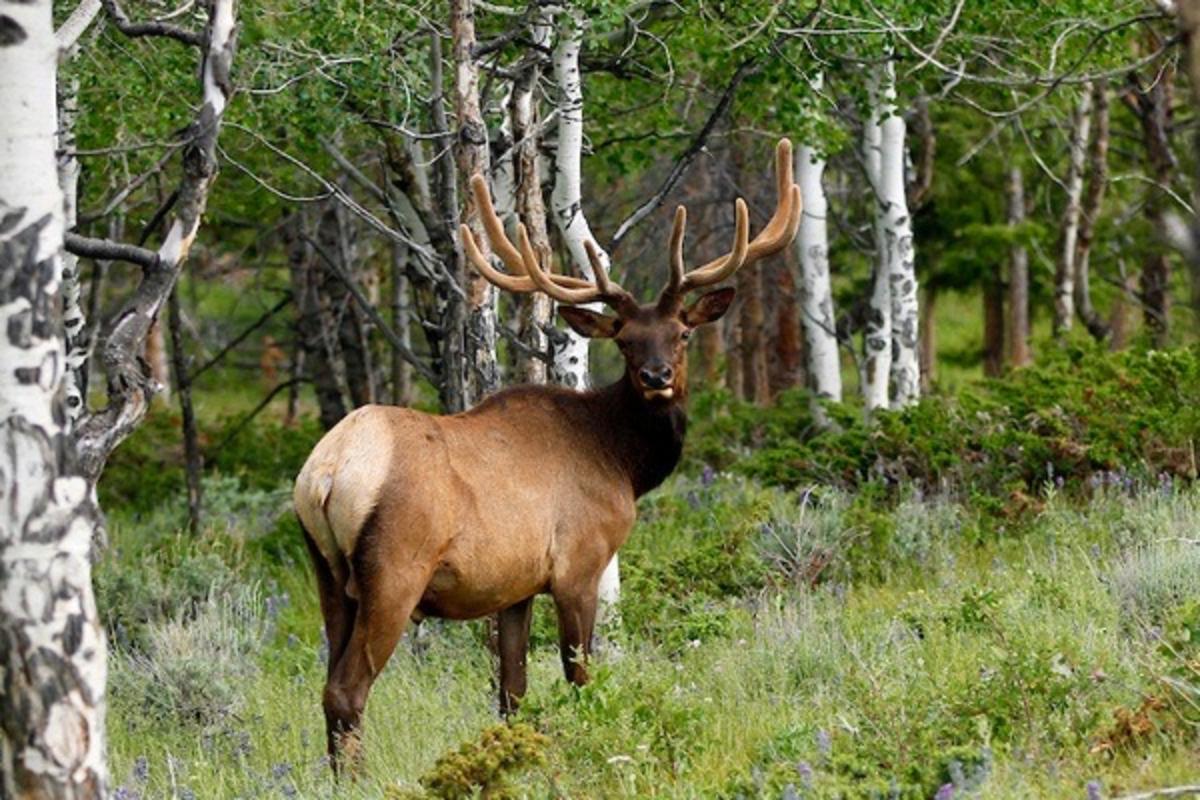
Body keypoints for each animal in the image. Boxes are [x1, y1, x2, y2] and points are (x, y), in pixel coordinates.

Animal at [289, 140, 796, 772]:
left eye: (681, 334)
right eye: (625, 340)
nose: (656, 377)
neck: (623, 461)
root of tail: (326, 475)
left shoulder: (514, 587)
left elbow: (512, 691)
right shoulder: (579, 563)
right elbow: (581, 677)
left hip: (327, 573)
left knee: (327, 685)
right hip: (394, 570)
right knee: (347, 689)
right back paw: (359, 779)